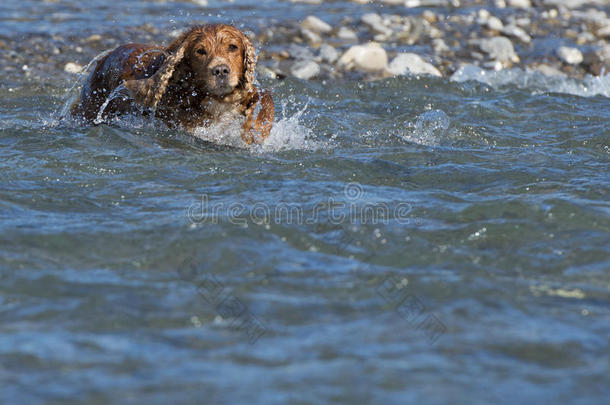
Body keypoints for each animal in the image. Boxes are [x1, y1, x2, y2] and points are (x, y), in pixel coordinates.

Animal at [71, 23, 274, 144]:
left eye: (233, 47)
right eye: (200, 51)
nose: (221, 70)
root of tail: (104, 58)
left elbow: (265, 99)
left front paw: (256, 130)